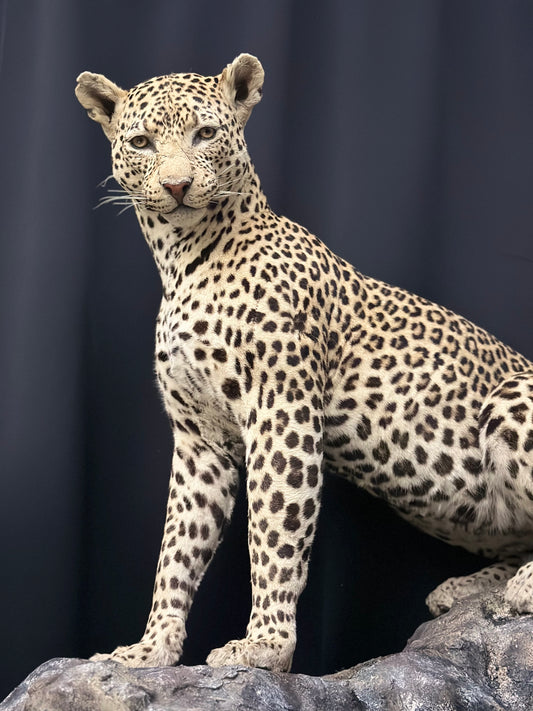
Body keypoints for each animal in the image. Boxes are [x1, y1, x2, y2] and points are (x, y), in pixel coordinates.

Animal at [76, 53, 533, 673]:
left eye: (206, 134)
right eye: (142, 142)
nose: (176, 185)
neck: (182, 260)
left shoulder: (281, 409)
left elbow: (274, 530)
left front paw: (265, 645)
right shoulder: (199, 439)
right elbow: (177, 547)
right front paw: (152, 648)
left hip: (510, 398)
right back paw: (464, 589)